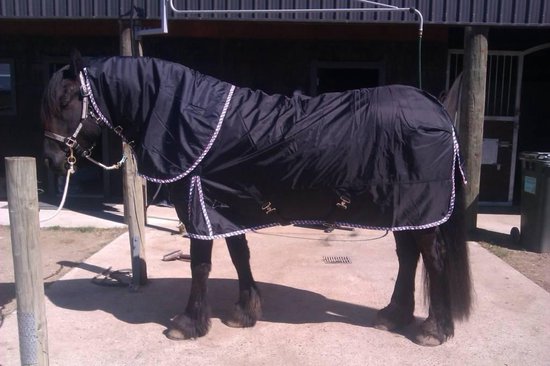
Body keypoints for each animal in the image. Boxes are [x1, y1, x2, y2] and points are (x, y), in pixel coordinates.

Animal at [42, 51, 474, 346]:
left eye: (65, 101)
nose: (50, 160)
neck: (189, 116)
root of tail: (436, 107)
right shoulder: (226, 207)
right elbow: (239, 257)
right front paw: (244, 312)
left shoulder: (199, 208)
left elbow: (200, 266)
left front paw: (188, 324)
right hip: (403, 211)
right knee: (408, 257)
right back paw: (393, 316)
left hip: (420, 211)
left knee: (433, 260)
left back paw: (433, 330)